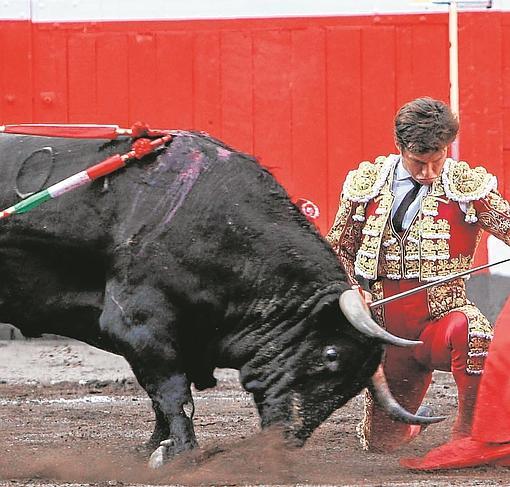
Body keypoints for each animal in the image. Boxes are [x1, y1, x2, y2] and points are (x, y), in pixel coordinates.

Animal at [0, 132, 436, 468]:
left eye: (350, 391)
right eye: (331, 356)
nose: (289, 439)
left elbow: (160, 399)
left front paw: (155, 447)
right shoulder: (140, 327)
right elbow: (174, 395)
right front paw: (182, 454)